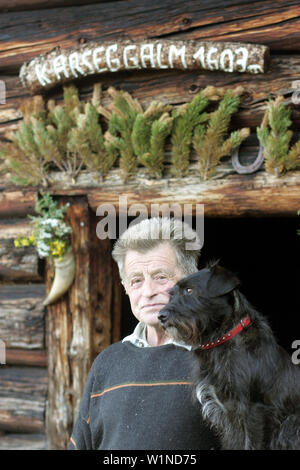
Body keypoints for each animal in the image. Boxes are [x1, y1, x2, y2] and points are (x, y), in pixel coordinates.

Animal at [158, 262, 298, 450]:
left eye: (189, 290)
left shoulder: (255, 412)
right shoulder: (227, 418)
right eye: (171, 295)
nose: (161, 316)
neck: (222, 340)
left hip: (290, 427)